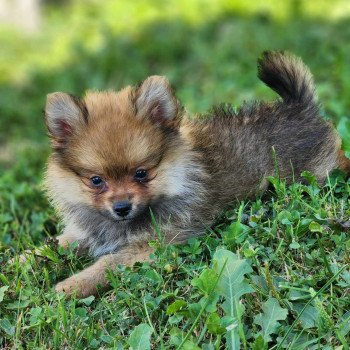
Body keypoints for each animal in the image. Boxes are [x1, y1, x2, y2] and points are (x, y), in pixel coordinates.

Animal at [42, 50, 348, 296]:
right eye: (96, 181)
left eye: (141, 173)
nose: (121, 207)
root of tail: (301, 108)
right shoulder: (89, 230)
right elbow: (61, 241)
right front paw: (31, 256)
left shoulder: (154, 244)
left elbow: (107, 264)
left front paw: (70, 286)